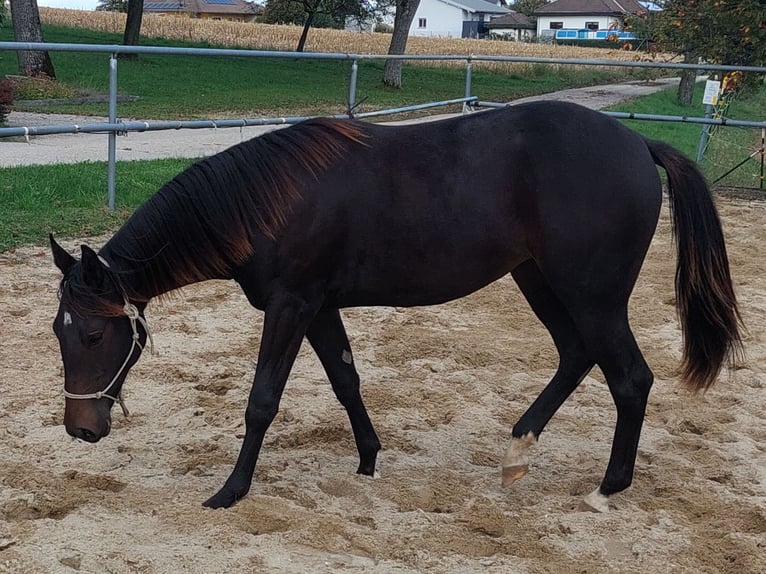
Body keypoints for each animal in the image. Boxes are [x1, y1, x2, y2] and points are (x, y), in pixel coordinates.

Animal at [49, 101, 744, 516]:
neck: (267, 203)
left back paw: (608, 487)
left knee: (630, 379)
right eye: (60, 331)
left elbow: (262, 400)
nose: (80, 429)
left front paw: (231, 490)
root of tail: (638, 142)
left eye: (92, 335)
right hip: (540, 281)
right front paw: (367, 458)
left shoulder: (291, 306)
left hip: (592, 295)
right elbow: (345, 379)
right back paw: (517, 453)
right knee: (576, 356)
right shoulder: (318, 308)